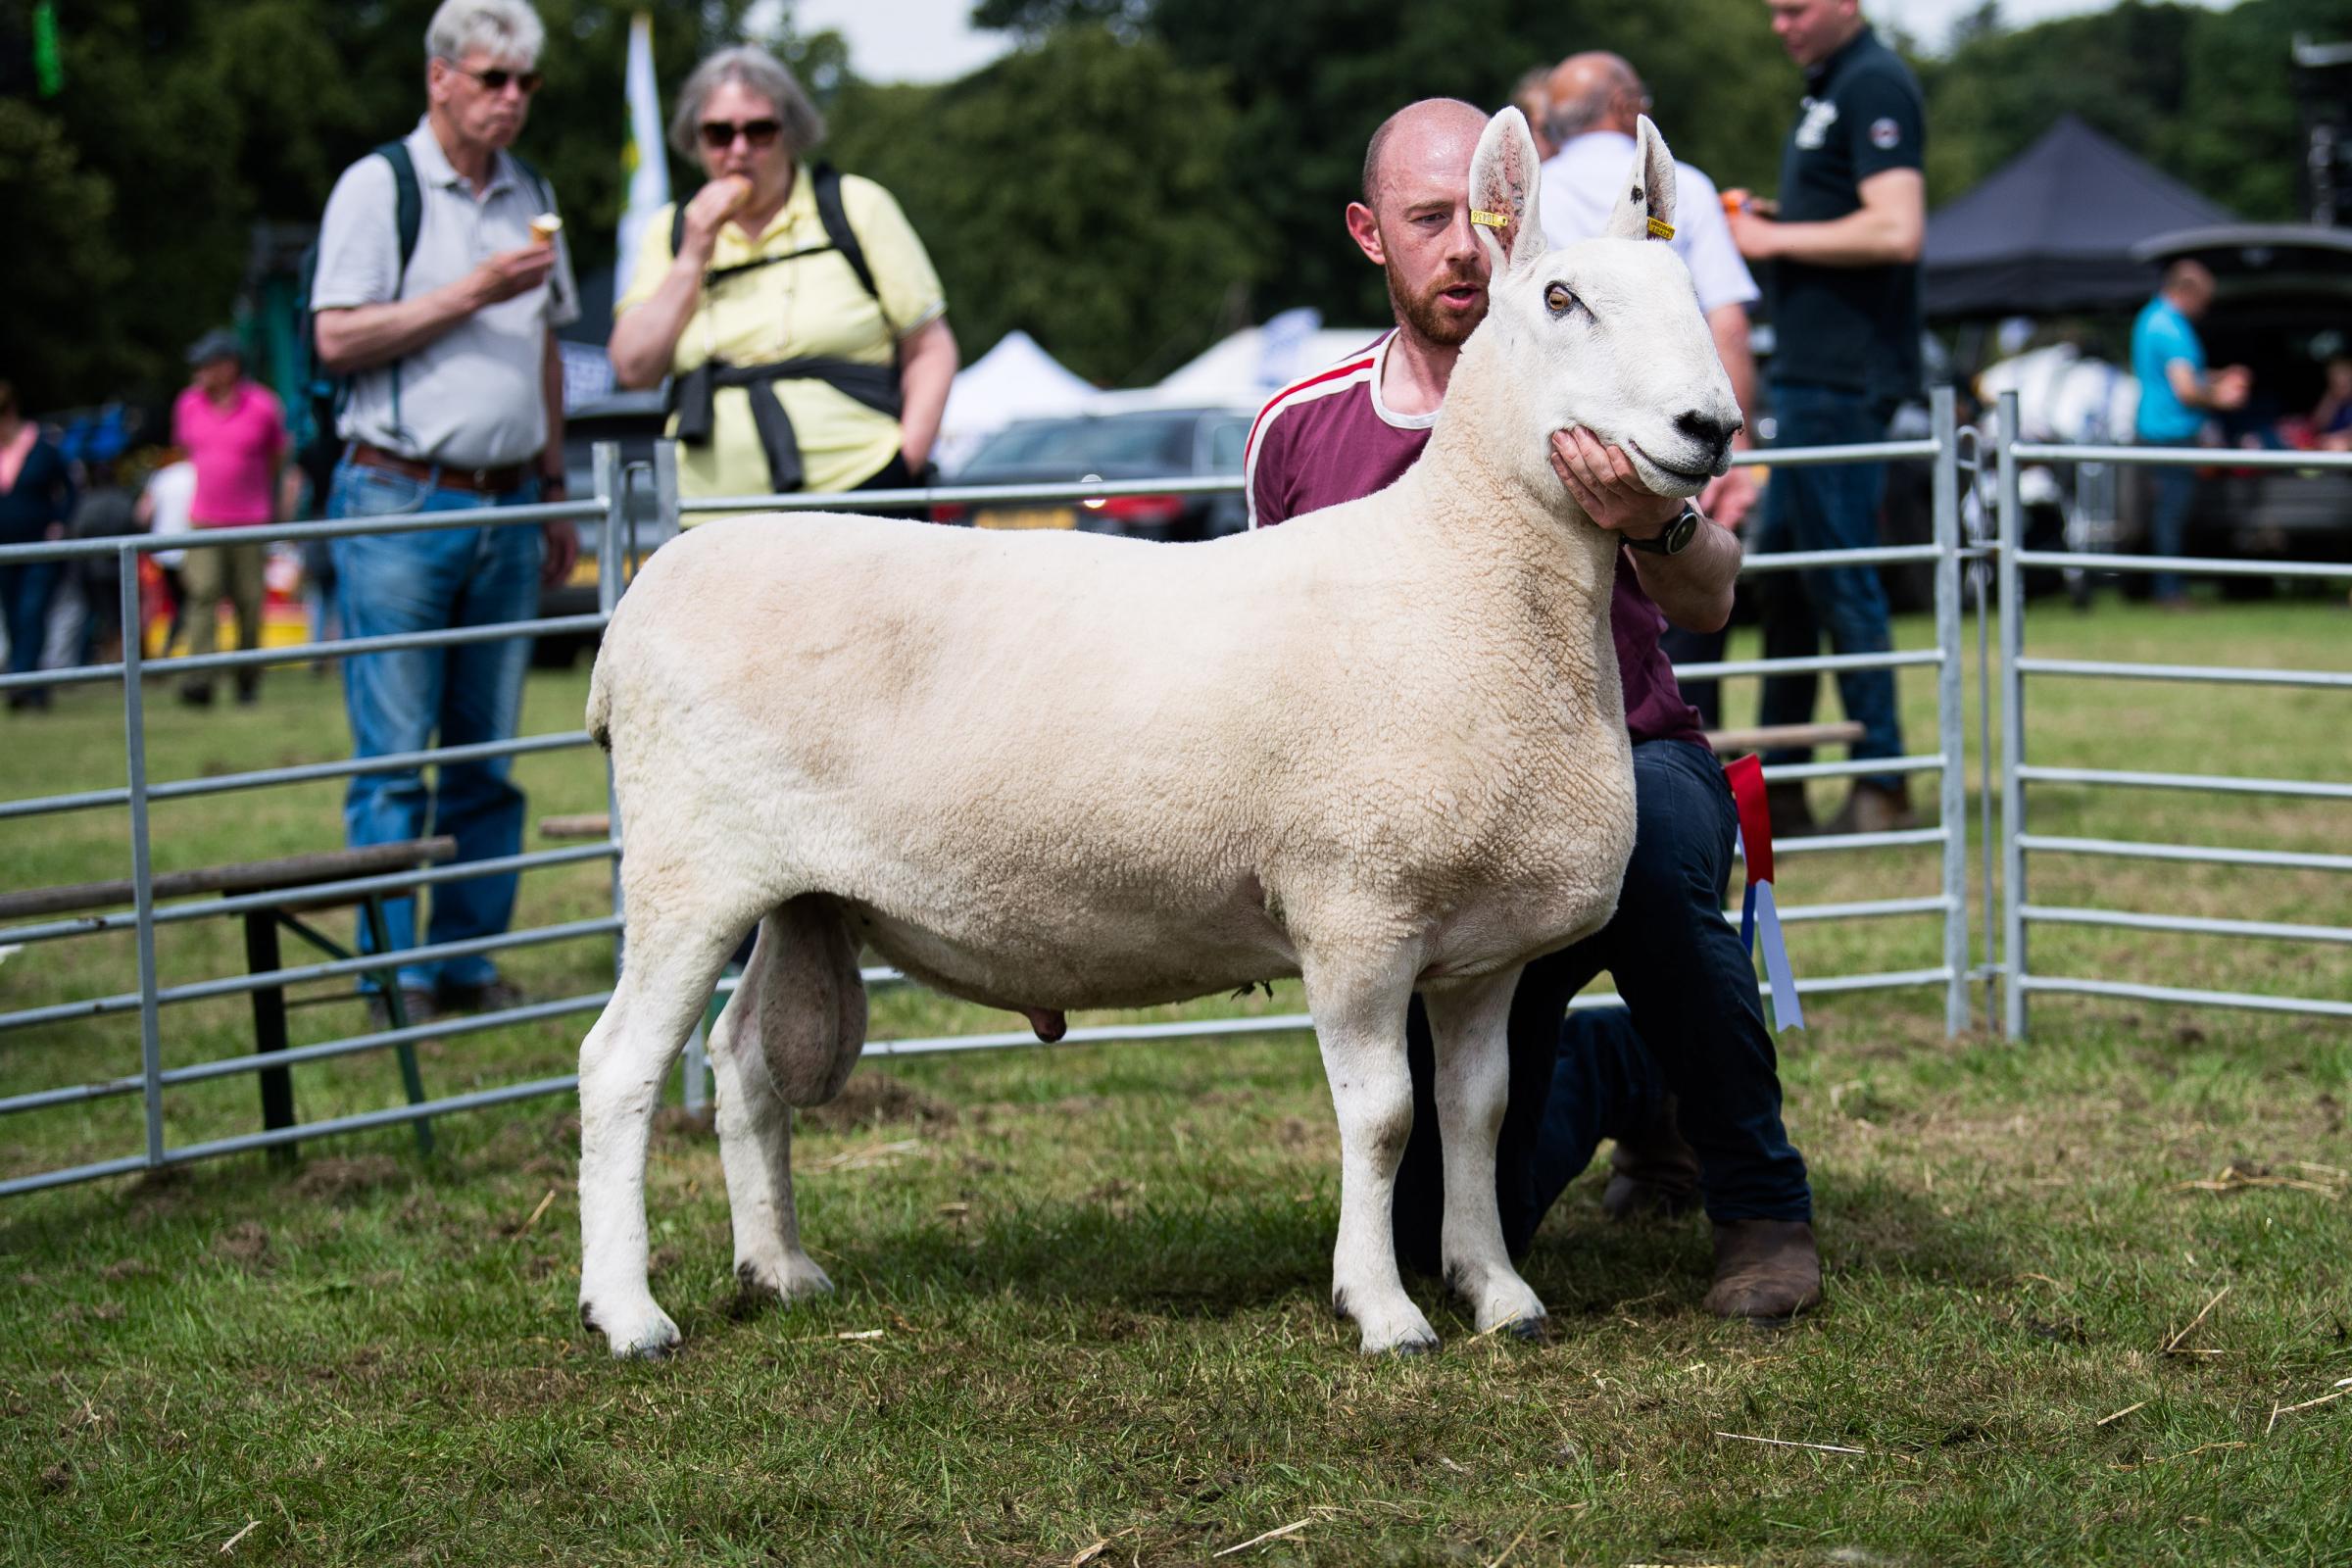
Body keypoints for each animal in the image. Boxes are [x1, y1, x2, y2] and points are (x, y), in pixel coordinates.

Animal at [578, 113, 1740, 1363]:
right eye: (1563, 298)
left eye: (1688, 291)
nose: (1711, 429)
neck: (1467, 575)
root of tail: (642, 599)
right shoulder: (1355, 908)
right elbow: (1385, 1121)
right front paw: (1382, 1308)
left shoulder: (1480, 950)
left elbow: (1475, 1115)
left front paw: (1496, 1290)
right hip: (691, 866)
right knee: (619, 1068)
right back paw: (627, 1312)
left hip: (795, 891)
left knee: (744, 1061)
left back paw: (780, 1269)